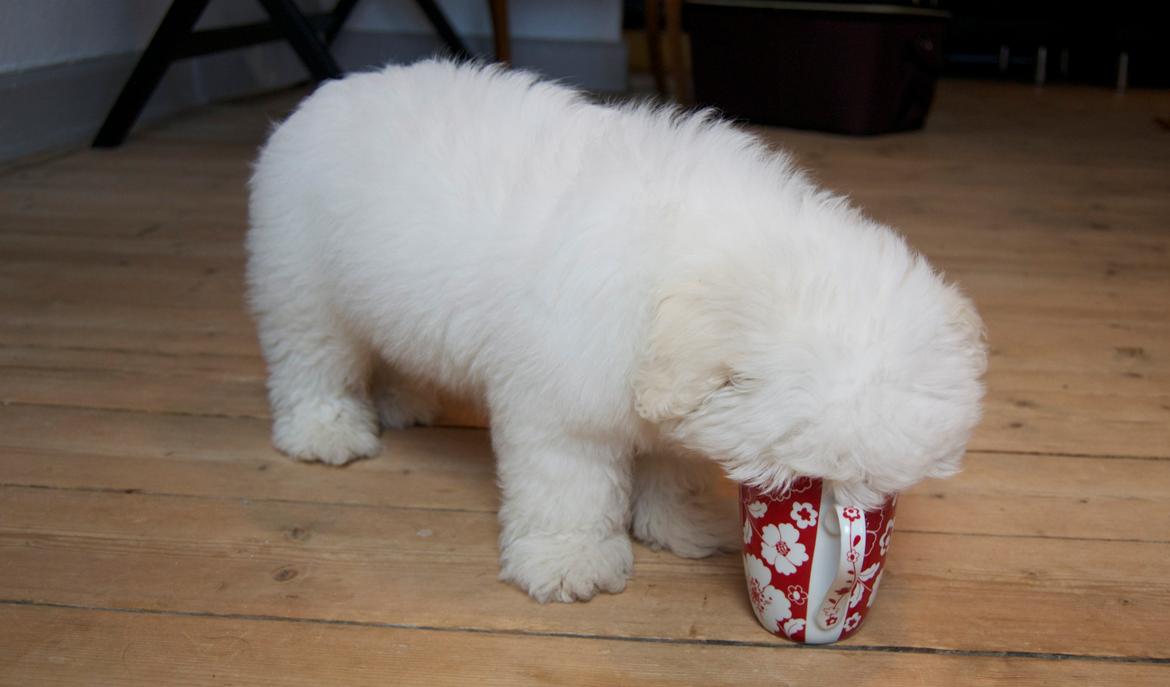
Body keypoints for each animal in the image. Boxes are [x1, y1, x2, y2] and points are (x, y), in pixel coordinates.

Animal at [249, 59, 987, 603]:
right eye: (802, 483)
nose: (843, 534)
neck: (682, 261)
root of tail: (323, 96)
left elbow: (671, 467)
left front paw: (678, 523)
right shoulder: (563, 412)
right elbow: (568, 490)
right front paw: (570, 559)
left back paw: (407, 402)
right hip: (304, 291)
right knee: (313, 363)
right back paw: (326, 431)